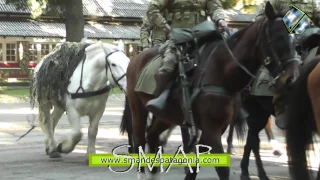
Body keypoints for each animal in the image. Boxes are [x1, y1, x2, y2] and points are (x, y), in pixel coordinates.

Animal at [124, 2, 300, 179]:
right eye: (278, 37)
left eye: (296, 40)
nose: (292, 78)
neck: (221, 71)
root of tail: (136, 58)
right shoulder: (211, 129)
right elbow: (222, 169)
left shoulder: (218, 128)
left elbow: (195, 166)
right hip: (138, 109)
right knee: (141, 140)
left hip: (166, 116)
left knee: (152, 136)